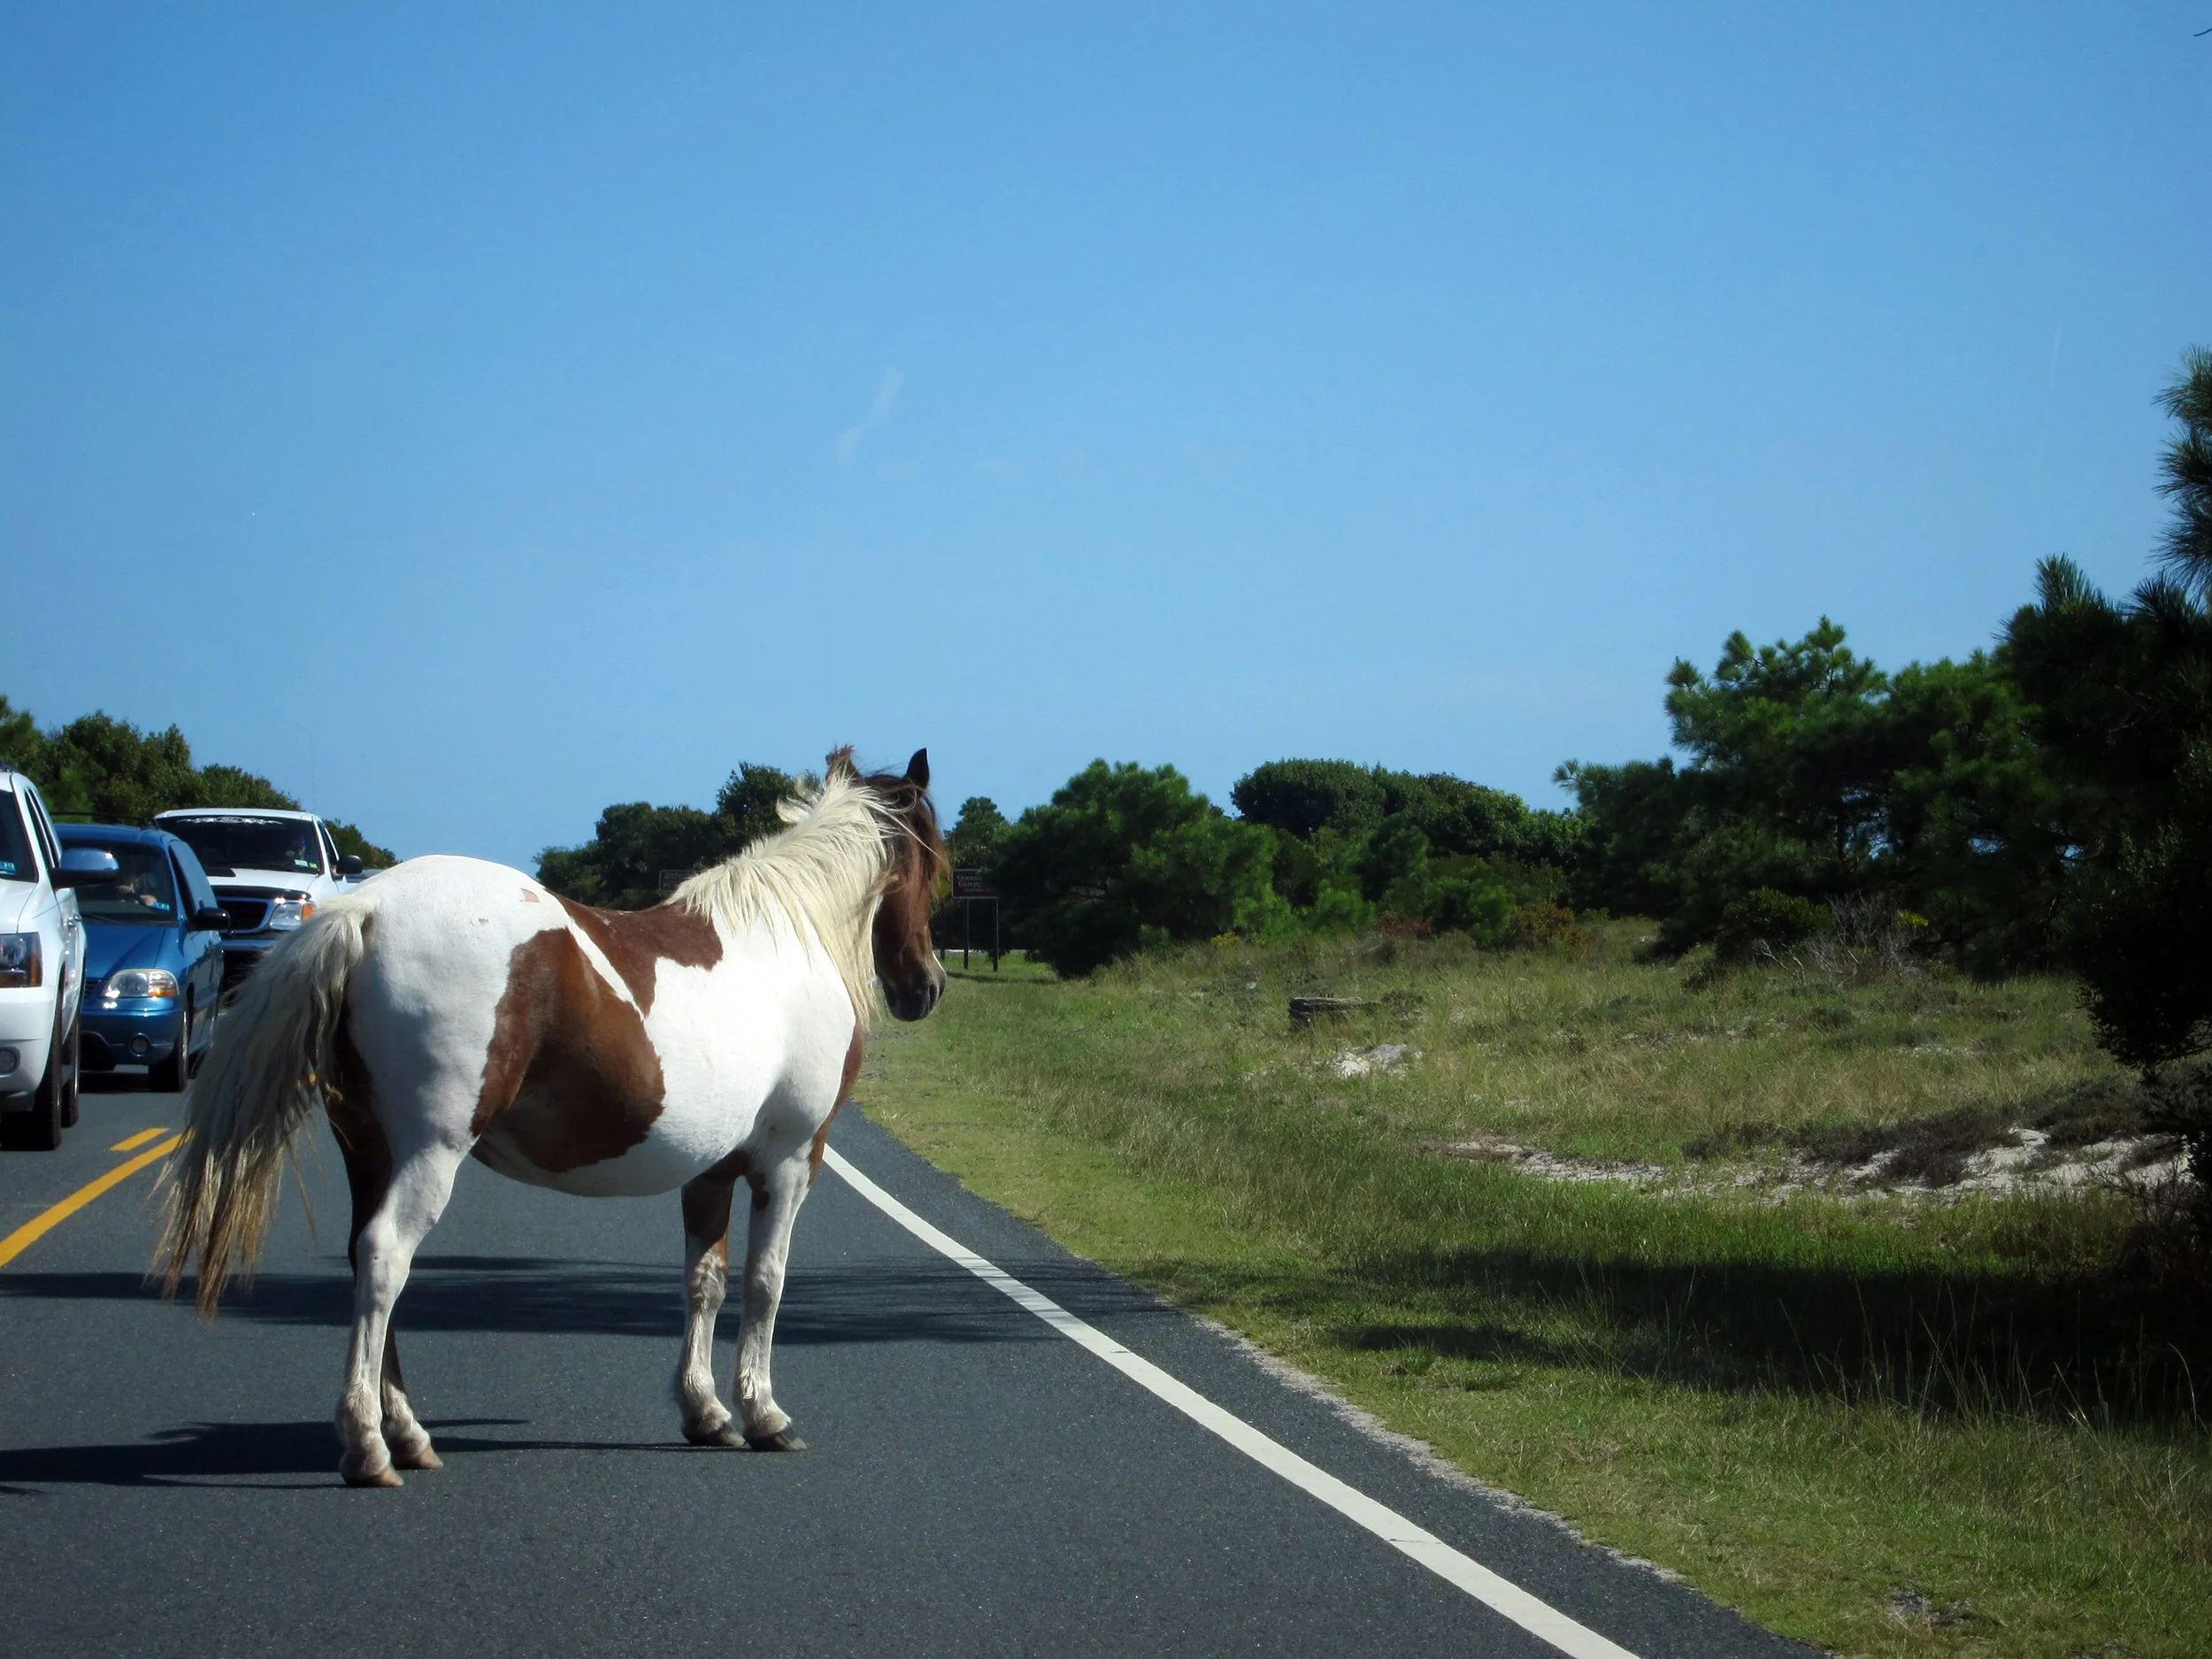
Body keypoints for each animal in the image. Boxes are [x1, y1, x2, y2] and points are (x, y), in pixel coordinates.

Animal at [156, 748, 946, 1487]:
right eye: (932, 859)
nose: (928, 986)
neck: (790, 936)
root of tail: (367, 910)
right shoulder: (788, 1161)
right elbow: (766, 1281)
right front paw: (764, 1412)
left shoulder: (711, 1172)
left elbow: (706, 1281)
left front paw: (706, 1411)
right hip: (429, 1152)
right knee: (384, 1259)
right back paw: (369, 1445)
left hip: (368, 1150)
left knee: (364, 1260)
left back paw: (406, 1432)